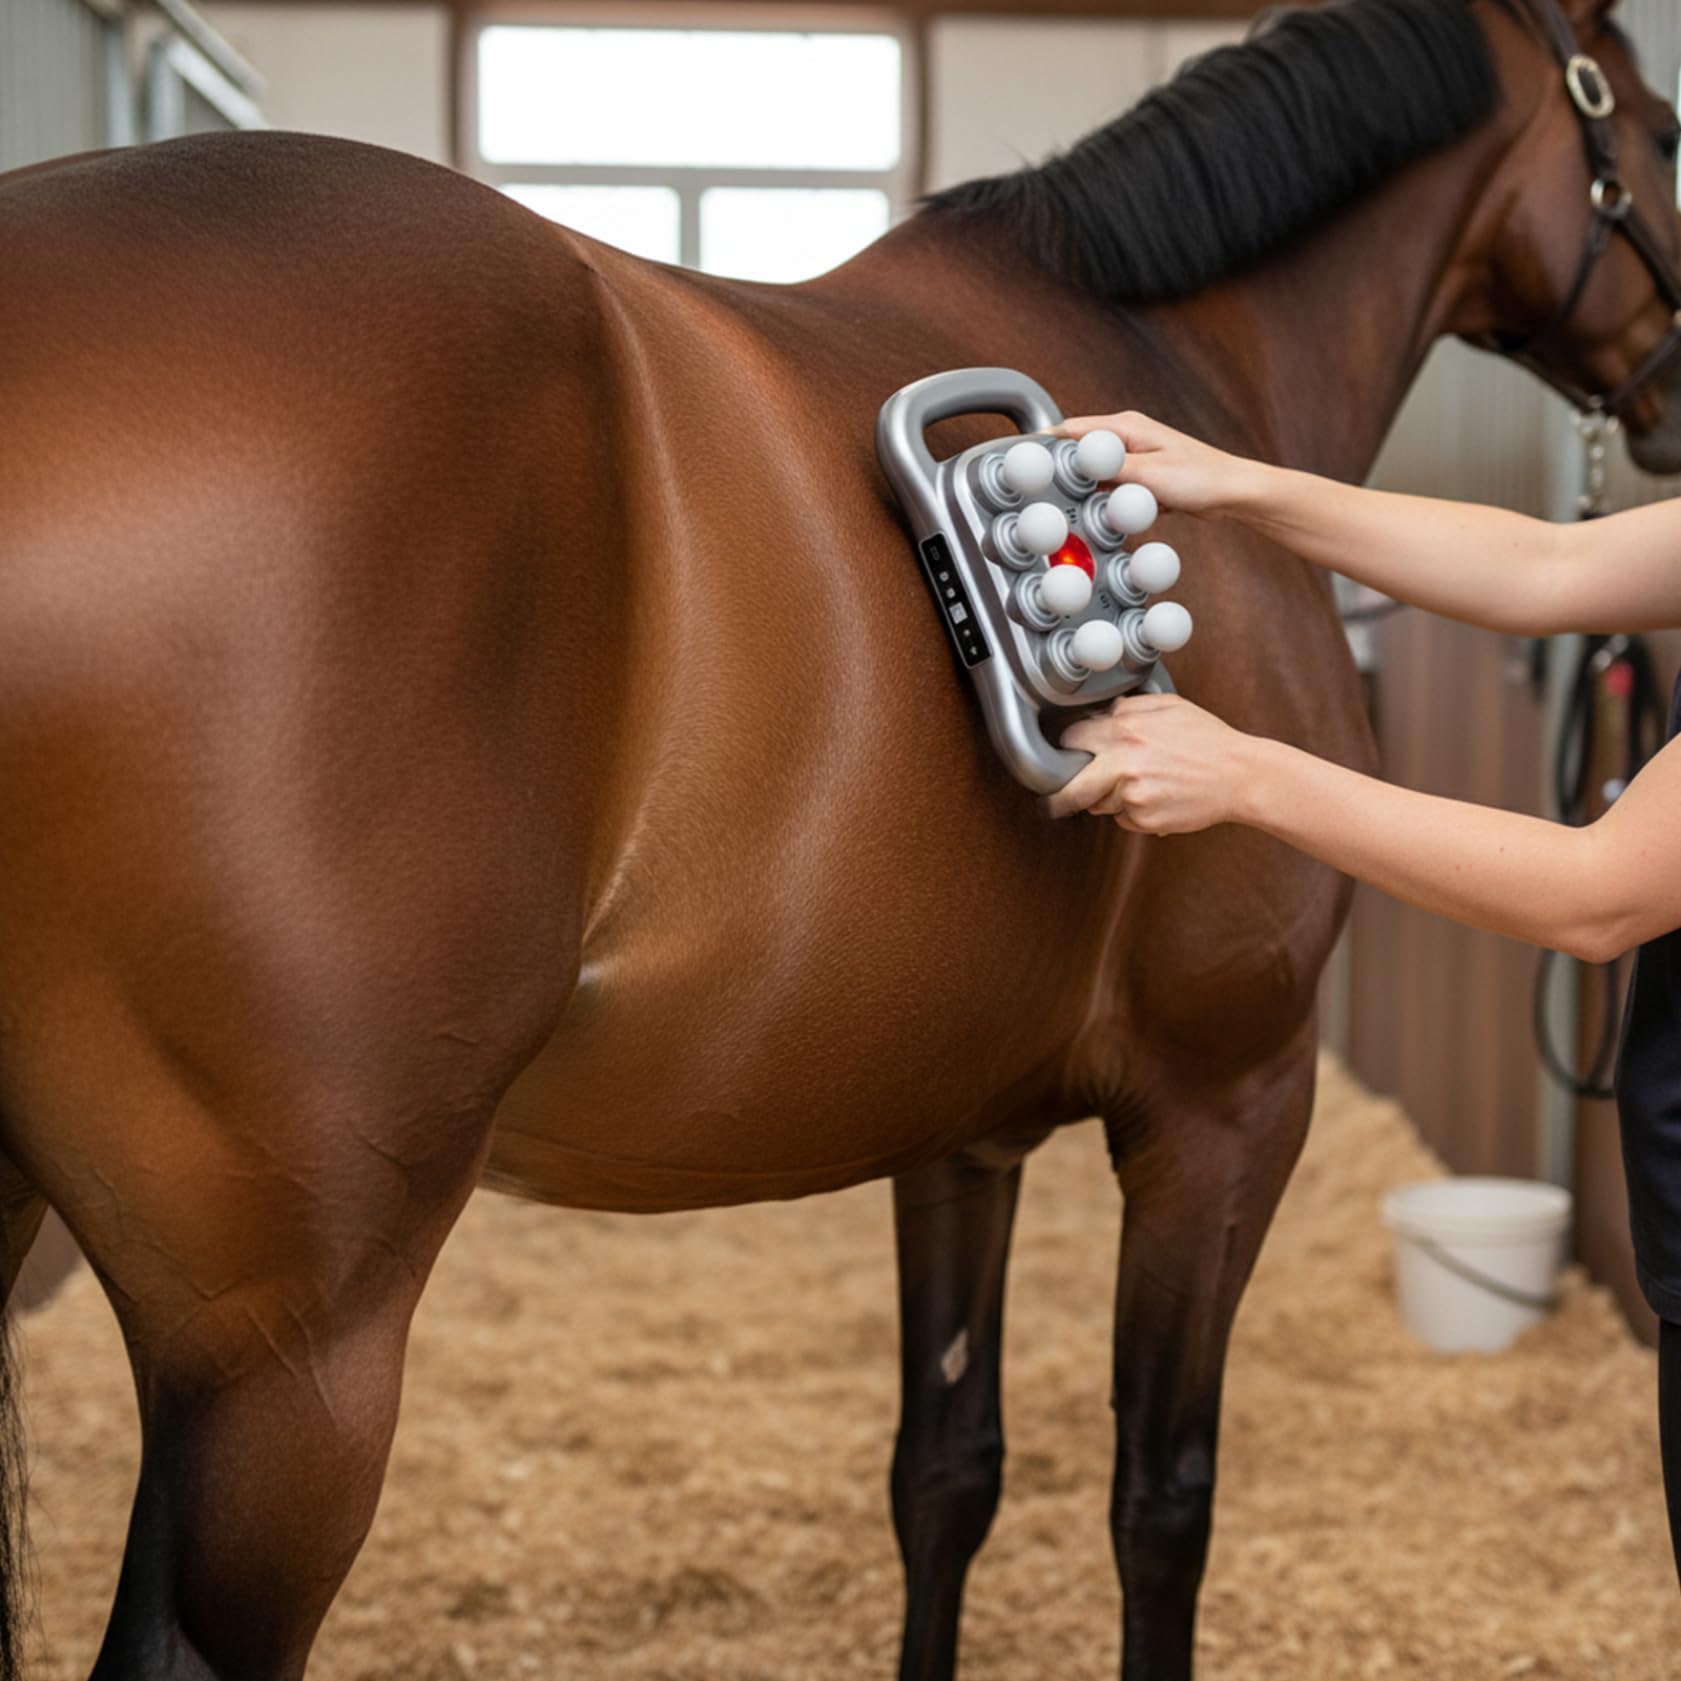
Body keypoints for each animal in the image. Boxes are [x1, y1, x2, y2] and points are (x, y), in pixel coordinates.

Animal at [2, 0, 1678, 1674]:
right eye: (1661, 128)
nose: (1666, 401)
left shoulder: (955, 1123)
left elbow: (943, 1474)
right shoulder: (1227, 1103)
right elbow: (1162, 1500)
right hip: (291, 1343)